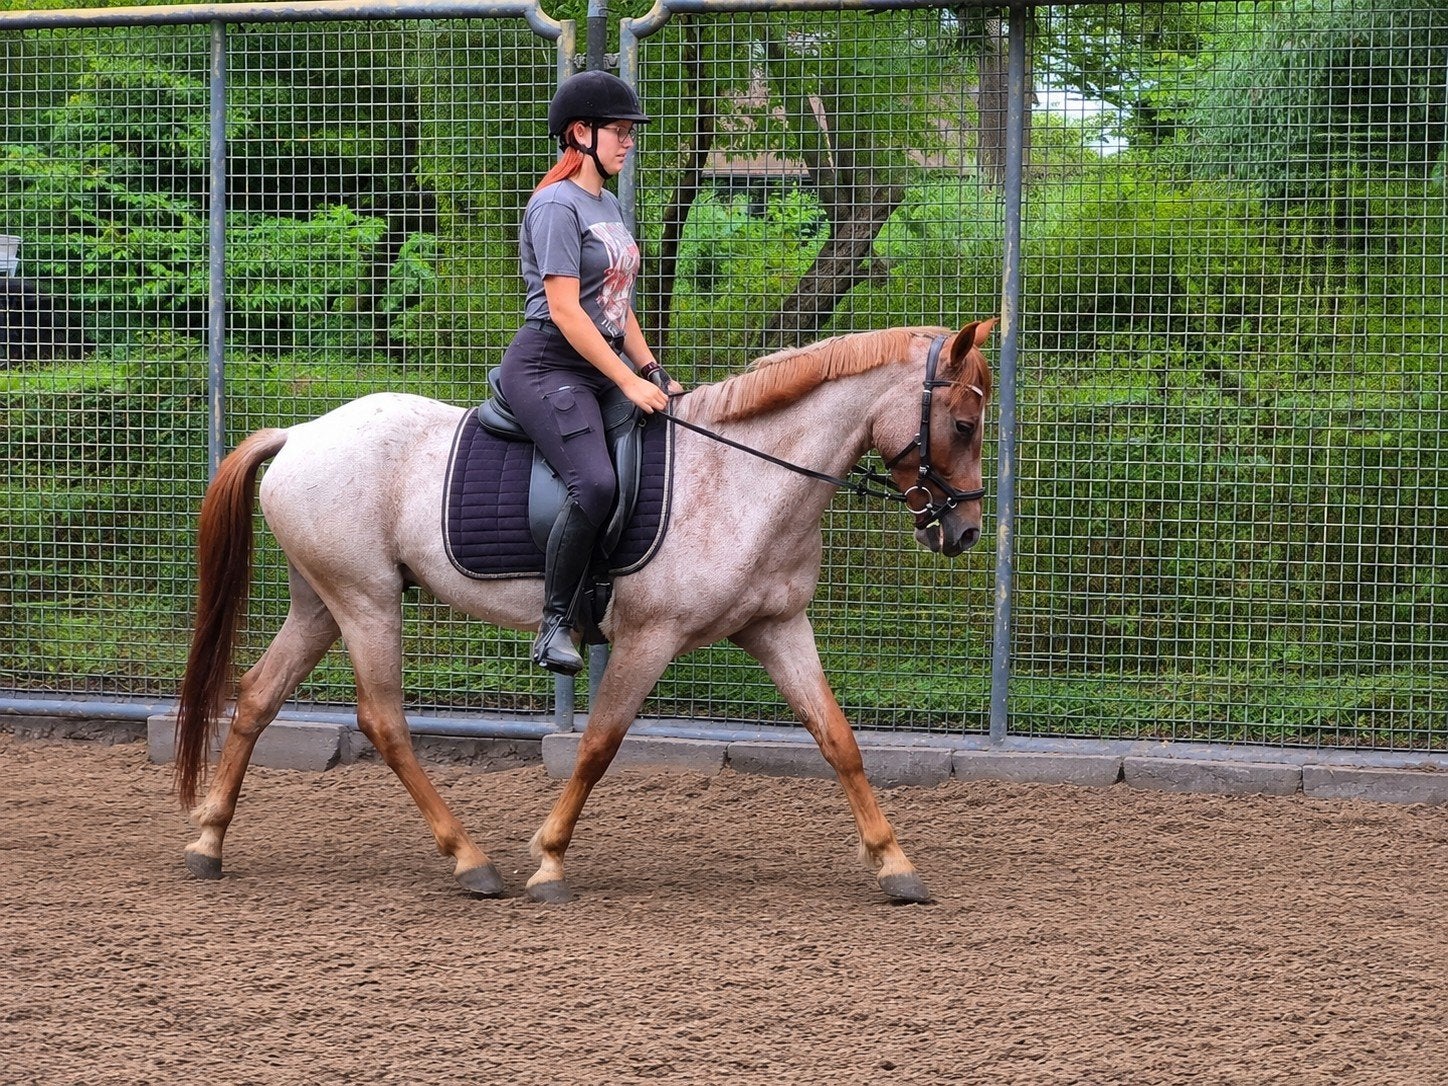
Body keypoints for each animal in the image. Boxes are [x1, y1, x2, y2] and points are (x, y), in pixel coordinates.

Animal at [173, 319, 995, 904]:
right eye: (963, 425)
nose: (963, 531)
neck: (744, 474)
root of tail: (301, 433)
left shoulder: (778, 629)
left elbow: (839, 740)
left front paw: (895, 864)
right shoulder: (649, 638)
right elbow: (599, 745)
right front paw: (548, 862)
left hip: (323, 603)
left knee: (257, 695)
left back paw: (208, 842)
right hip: (366, 601)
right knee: (383, 720)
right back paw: (471, 861)